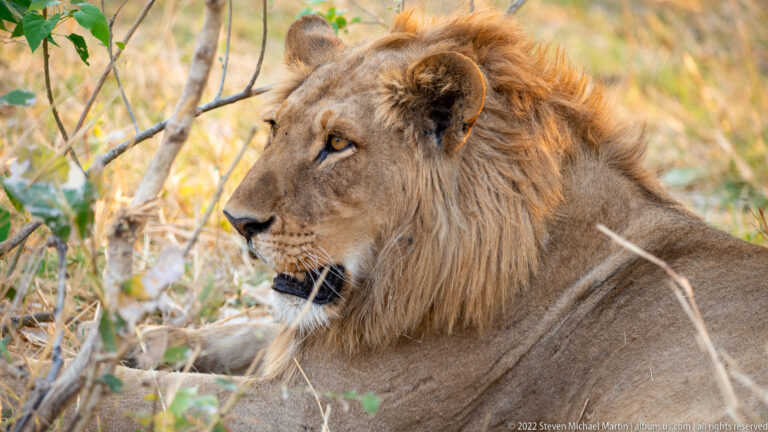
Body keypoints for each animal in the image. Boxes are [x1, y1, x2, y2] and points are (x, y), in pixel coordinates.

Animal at [4, 8, 768, 431]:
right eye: (276, 127)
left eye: (338, 145)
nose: (237, 222)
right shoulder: (306, 340)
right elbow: (207, 334)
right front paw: (111, 344)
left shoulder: (322, 412)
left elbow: (142, 399)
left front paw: (37, 387)